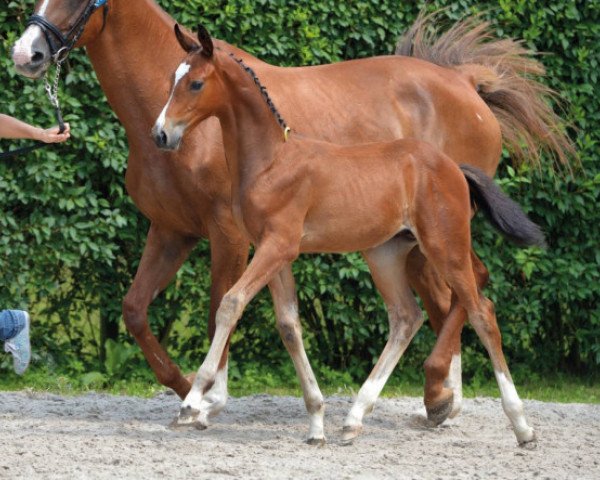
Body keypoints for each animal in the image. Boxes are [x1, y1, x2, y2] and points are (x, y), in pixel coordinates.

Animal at [154, 25, 544, 446]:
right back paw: (356, 417)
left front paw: (193, 402)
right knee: (406, 317)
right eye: (171, 80)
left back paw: (521, 426)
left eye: (195, 83)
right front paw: (316, 422)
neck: (271, 161)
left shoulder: (278, 247)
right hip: (386, 254)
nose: (160, 134)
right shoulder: (274, 253)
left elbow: (230, 303)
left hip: (445, 246)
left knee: (481, 312)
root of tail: (453, 167)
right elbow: (289, 326)